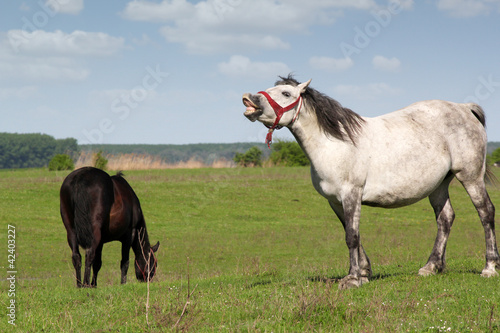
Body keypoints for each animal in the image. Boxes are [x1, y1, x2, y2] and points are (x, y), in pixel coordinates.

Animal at [241, 74, 496, 288]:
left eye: (286, 93)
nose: (249, 99)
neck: (334, 143)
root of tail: (464, 108)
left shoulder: (351, 194)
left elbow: (352, 237)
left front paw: (353, 279)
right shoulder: (335, 201)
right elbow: (351, 232)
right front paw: (363, 273)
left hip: (470, 176)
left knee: (486, 212)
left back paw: (490, 268)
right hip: (439, 185)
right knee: (445, 219)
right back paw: (431, 267)